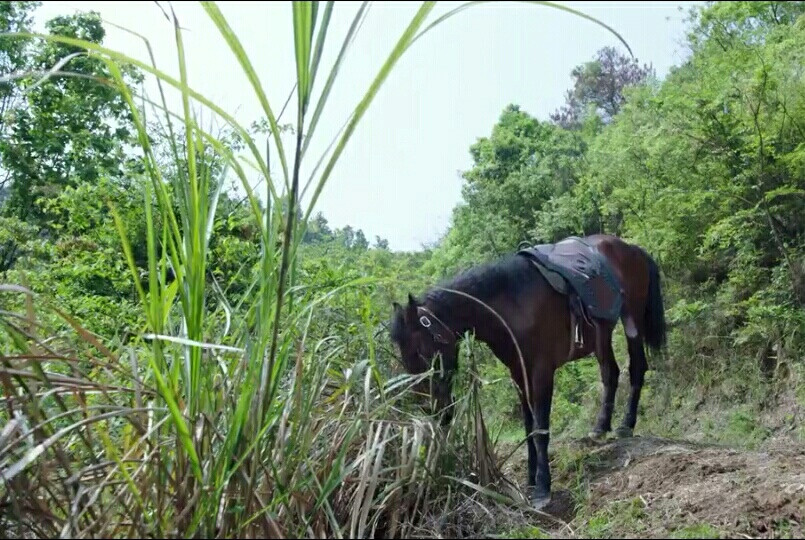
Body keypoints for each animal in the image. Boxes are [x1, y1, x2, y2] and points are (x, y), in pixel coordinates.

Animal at [390, 233, 664, 510]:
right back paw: (600, 427)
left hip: (632, 320)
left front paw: (542, 488)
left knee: (636, 368)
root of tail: (631, 249)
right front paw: (531, 480)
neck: (513, 304)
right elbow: (528, 427)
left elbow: (540, 429)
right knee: (611, 373)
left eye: (422, 353)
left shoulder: (541, 371)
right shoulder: (518, 374)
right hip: (601, 334)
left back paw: (626, 425)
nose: (436, 412)